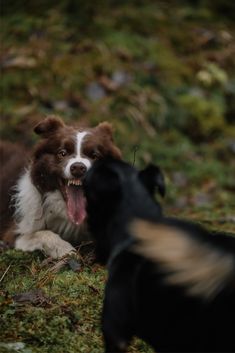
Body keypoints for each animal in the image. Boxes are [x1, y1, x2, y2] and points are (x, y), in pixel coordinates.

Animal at [0, 117, 121, 258]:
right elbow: (42, 233)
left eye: (94, 155)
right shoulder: (14, 231)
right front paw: (66, 250)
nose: (78, 168)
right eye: (62, 153)